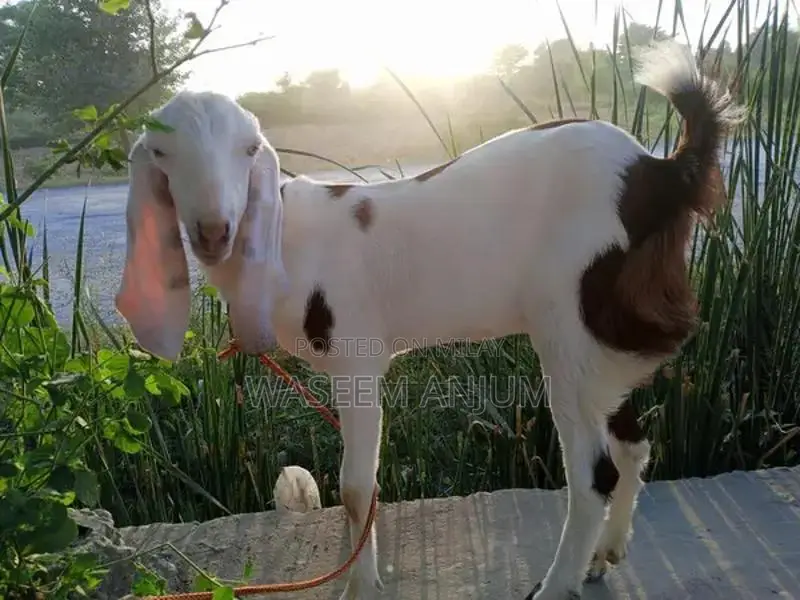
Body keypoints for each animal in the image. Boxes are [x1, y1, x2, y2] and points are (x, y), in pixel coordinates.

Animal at [115, 39, 743, 600]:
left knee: (595, 473)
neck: (291, 236)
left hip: (570, 318)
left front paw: (360, 589)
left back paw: (555, 585)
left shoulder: (357, 358)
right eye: (161, 154)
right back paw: (602, 556)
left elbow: (355, 487)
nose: (213, 231)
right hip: (599, 329)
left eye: (251, 149)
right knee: (632, 443)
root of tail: (660, 173)